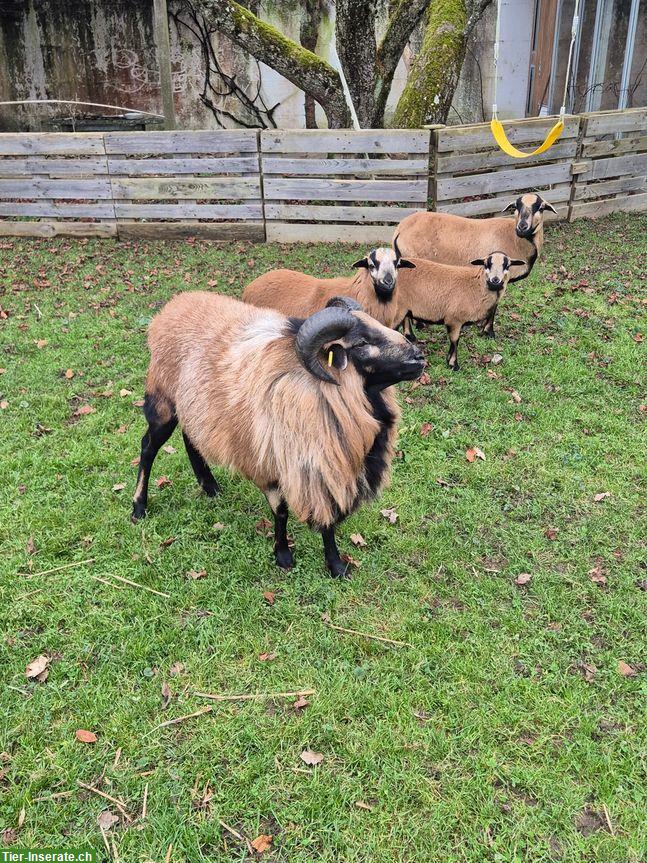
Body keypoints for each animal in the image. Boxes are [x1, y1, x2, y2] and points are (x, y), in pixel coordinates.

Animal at [132, 292, 426, 580]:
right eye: (362, 342)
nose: (419, 357)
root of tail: (170, 307)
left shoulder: (326, 468)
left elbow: (328, 521)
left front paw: (336, 566)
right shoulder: (271, 466)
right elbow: (282, 512)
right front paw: (283, 556)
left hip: (193, 407)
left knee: (191, 437)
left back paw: (210, 486)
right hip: (163, 402)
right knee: (148, 448)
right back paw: (139, 508)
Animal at [394, 194, 556, 340]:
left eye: (540, 208)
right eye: (516, 206)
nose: (522, 227)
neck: (515, 238)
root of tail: (400, 228)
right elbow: (495, 305)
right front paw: (489, 332)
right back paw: (411, 334)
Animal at [394, 250, 528, 372]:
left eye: (507, 266)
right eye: (486, 264)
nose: (495, 280)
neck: (476, 285)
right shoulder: (454, 319)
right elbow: (455, 341)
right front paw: (453, 364)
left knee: (405, 319)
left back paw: (410, 338)